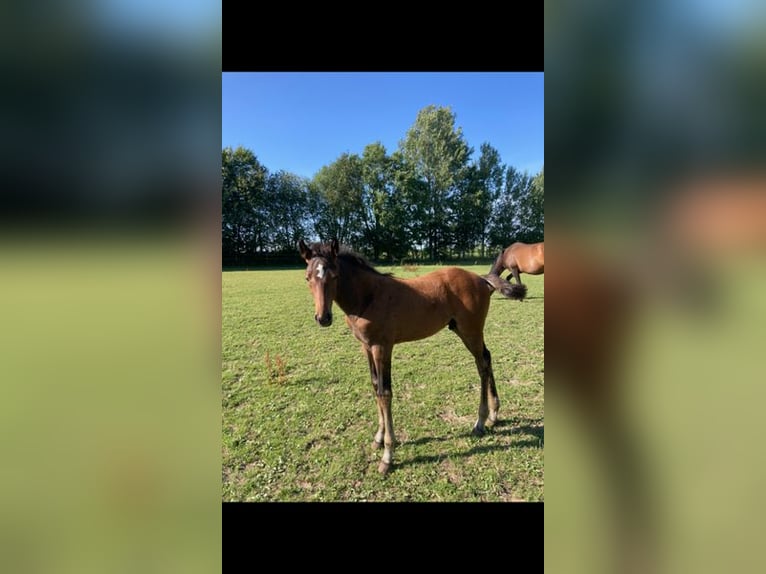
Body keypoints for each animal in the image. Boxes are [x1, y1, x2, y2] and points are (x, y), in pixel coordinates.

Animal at [298, 240, 528, 476]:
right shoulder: (366, 347)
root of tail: (481, 279)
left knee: (481, 365)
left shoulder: (382, 347)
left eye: (334, 276)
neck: (367, 297)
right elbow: (375, 386)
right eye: (307, 278)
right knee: (487, 358)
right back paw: (493, 415)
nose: (323, 318)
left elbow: (385, 393)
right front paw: (378, 438)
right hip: (462, 330)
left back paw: (480, 422)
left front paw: (387, 455)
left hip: (471, 331)